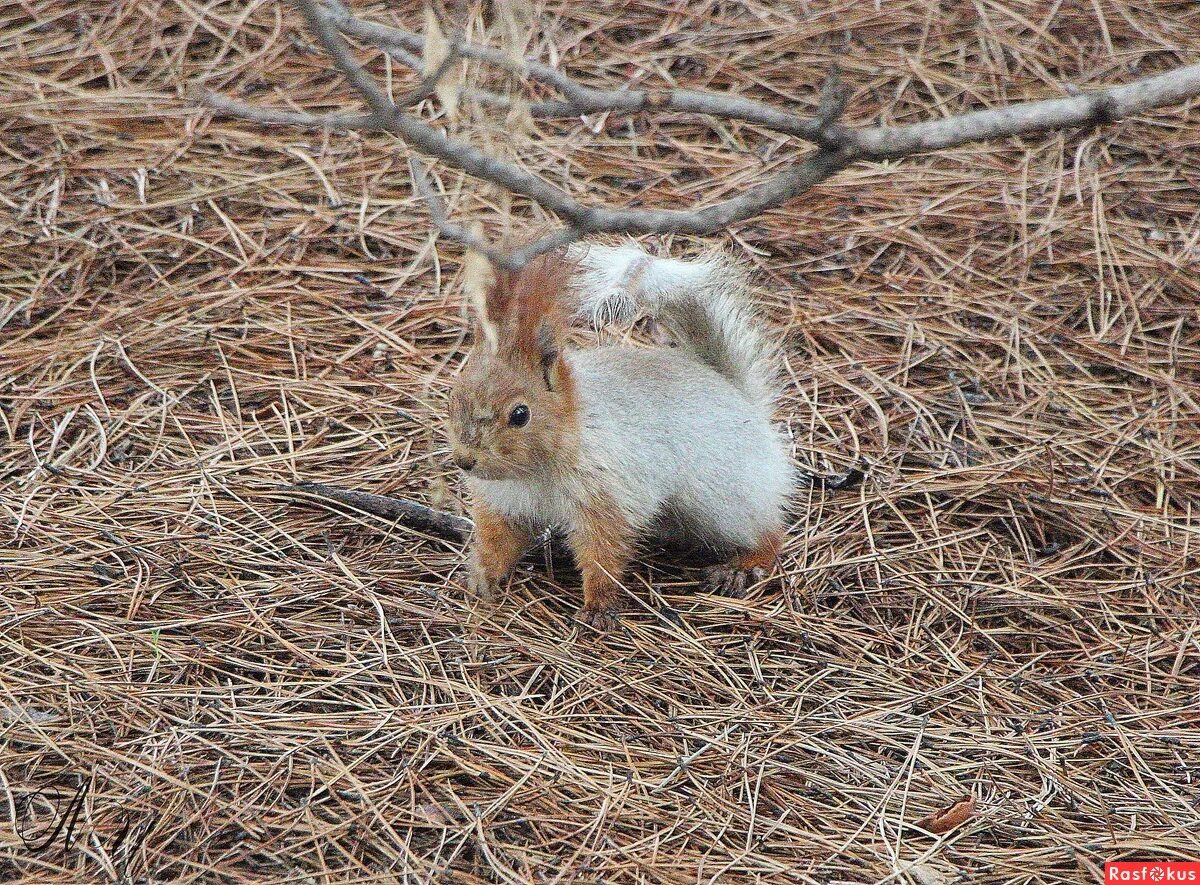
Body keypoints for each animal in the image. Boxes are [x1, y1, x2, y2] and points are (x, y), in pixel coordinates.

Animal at [446, 241, 792, 628]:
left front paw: (598, 606)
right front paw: (480, 577)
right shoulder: (504, 503)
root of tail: (744, 401)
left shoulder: (609, 496)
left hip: (724, 500)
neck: (535, 470)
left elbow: (603, 553)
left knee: (767, 532)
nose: (465, 461)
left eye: (520, 415)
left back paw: (744, 566)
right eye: (453, 394)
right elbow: (498, 543)